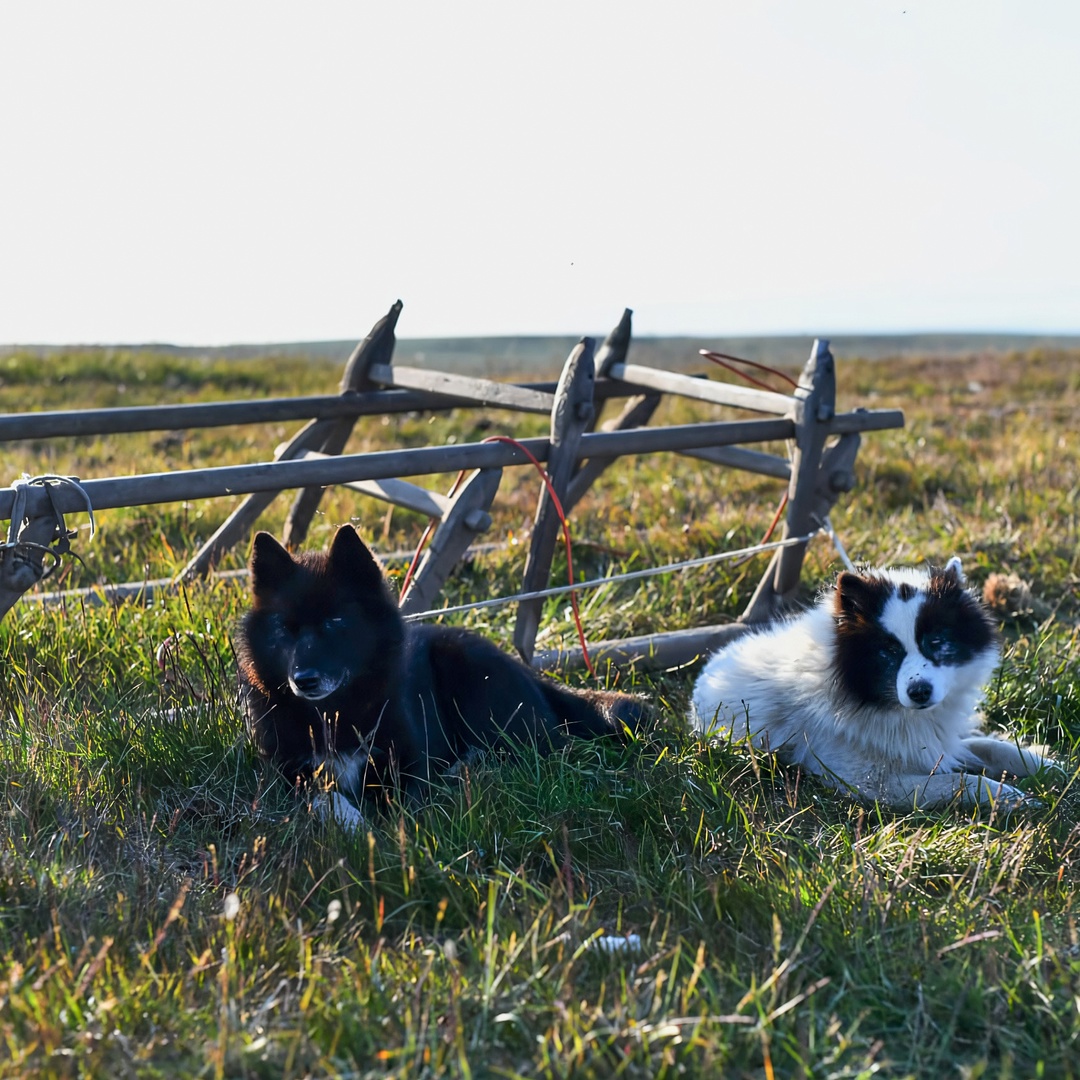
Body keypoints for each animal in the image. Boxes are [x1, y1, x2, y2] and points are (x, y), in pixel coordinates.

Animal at [236, 524, 639, 816]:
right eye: (284, 628)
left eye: (335, 621)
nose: (303, 681)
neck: (334, 712)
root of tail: (532, 676)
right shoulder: (287, 775)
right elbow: (324, 796)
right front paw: (352, 823)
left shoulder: (412, 764)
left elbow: (404, 807)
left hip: (468, 671)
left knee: (542, 749)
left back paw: (469, 769)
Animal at [691, 561, 1054, 807]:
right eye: (888, 651)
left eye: (936, 642)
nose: (919, 692)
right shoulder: (869, 782)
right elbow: (959, 780)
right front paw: (1010, 797)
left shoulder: (941, 740)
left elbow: (993, 746)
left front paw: (1049, 767)